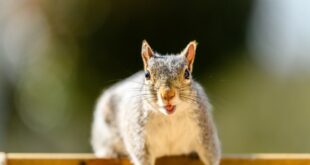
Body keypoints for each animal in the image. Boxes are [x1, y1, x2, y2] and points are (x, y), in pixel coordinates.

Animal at [91, 40, 222, 165]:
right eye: (147, 74)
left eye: (187, 73)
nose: (167, 94)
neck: (170, 118)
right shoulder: (140, 140)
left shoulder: (205, 134)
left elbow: (211, 155)